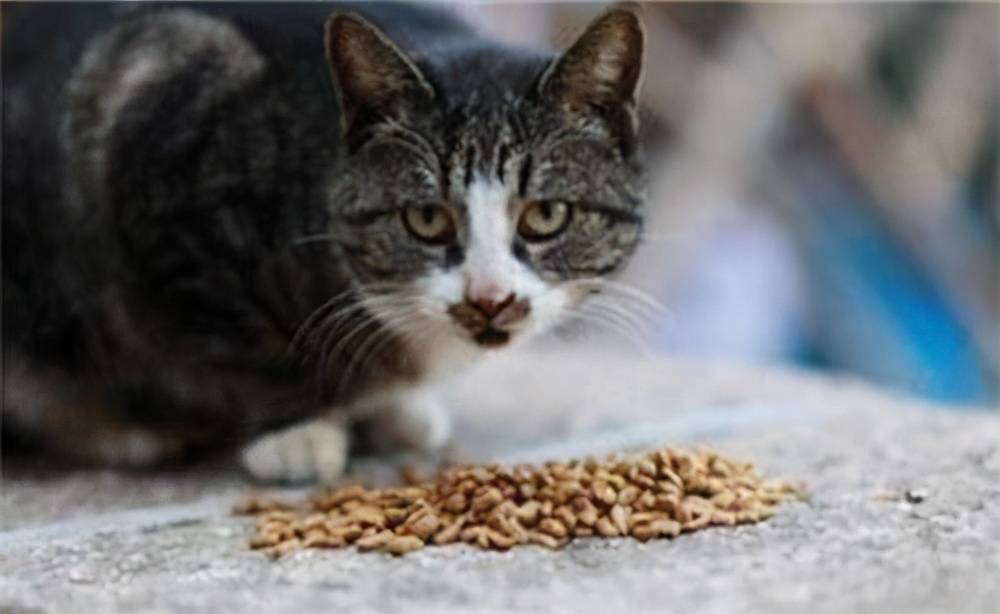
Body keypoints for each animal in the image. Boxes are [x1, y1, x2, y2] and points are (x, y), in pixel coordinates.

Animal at [1, 2, 648, 484]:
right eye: (426, 218)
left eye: (546, 214)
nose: (489, 299)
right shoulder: (157, 162)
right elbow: (242, 344)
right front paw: (297, 430)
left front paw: (389, 409)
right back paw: (124, 432)